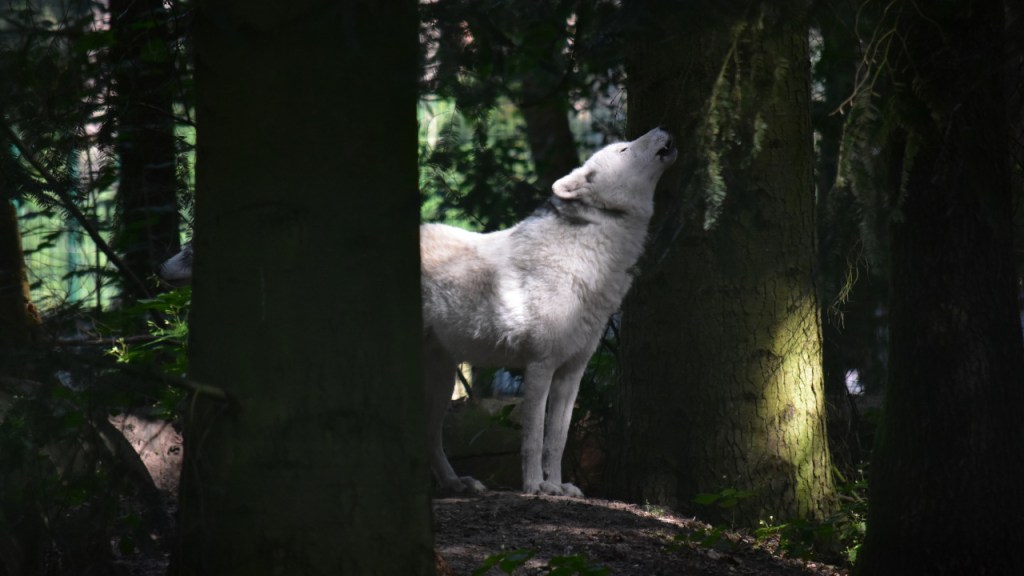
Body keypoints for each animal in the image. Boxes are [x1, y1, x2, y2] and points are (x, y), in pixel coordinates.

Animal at [421, 127, 677, 497]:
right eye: (624, 149)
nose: (662, 129)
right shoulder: (539, 366)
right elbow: (533, 438)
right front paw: (533, 486)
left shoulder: (571, 372)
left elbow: (557, 438)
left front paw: (557, 486)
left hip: (441, 380)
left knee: (429, 437)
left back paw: (458, 484)